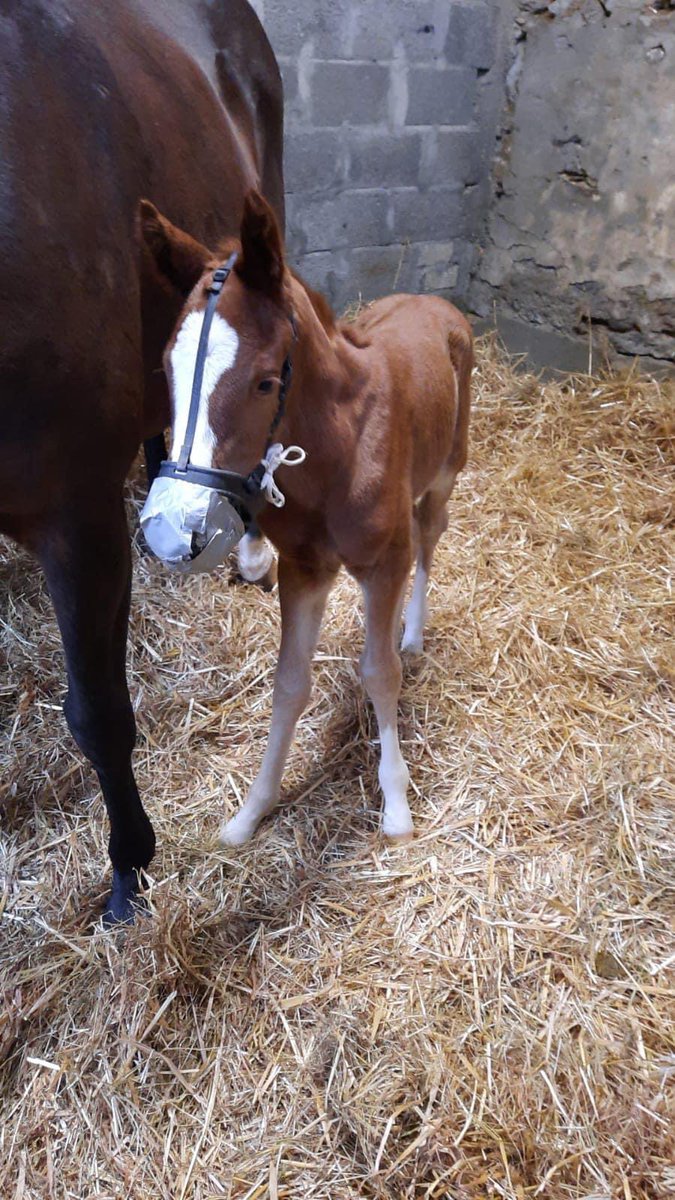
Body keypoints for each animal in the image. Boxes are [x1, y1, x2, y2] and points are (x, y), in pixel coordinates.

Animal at [139, 189, 473, 845]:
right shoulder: (304, 570)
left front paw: (396, 808)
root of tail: (433, 300)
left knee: (429, 539)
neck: (338, 451)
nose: (168, 528)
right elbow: (289, 683)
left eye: (266, 382)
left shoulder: (382, 563)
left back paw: (413, 634)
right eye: (167, 367)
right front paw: (252, 811)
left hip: (447, 470)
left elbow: (380, 672)